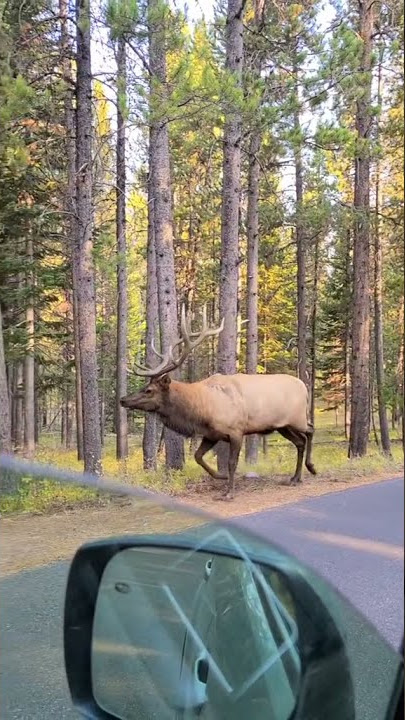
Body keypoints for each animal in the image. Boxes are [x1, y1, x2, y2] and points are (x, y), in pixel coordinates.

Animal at [120, 306, 316, 500]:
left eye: (149, 390)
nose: (123, 399)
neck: (201, 410)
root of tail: (304, 387)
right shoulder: (211, 434)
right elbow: (198, 456)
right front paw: (221, 476)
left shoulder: (236, 431)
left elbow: (231, 462)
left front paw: (229, 492)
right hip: (282, 426)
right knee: (300, 442)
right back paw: (295, 477)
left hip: (297, 418)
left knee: (310, 430)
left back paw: (311, 467)